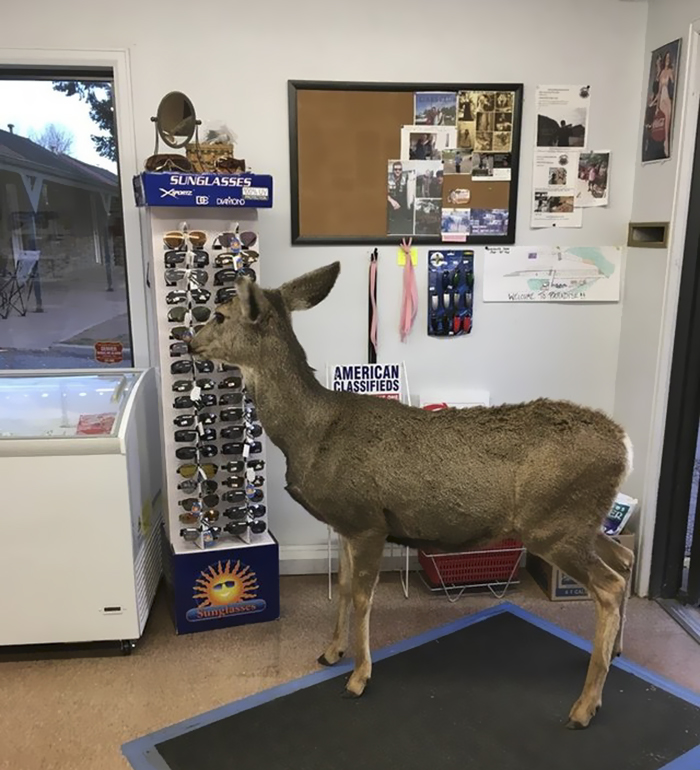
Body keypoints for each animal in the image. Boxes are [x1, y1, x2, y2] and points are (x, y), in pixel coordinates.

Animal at [189, 261, 635, 730]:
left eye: (219, 314)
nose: (189, 342)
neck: (310, 434)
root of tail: (625, 446)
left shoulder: (368, 521)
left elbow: (363, 597)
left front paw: (358, 678)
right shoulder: (345, 524)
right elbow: (343, 587)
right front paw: (331, 652)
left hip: (554, 525)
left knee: (609, 586)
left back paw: (585, 706)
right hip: (580, 521)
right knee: (625, 559)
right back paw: (616, 653)